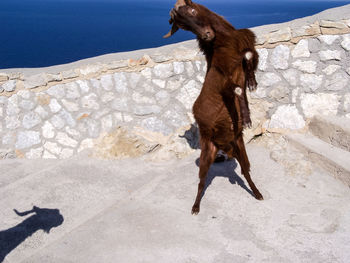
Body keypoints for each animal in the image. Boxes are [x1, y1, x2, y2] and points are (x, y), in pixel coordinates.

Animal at [164, 0, 262, 214]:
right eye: (182, 25)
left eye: (193, 10)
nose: (206, 35)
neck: (222, 43)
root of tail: (223, 145)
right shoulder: (222, 79)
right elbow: (237, 90)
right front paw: (246, 117)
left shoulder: (244, 49)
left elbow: (250, 56)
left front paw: (252, 83)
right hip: (207, 151)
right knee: (202, 181)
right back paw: (195, 207)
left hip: (239, 145)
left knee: (245, 170)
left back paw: (258, 193)